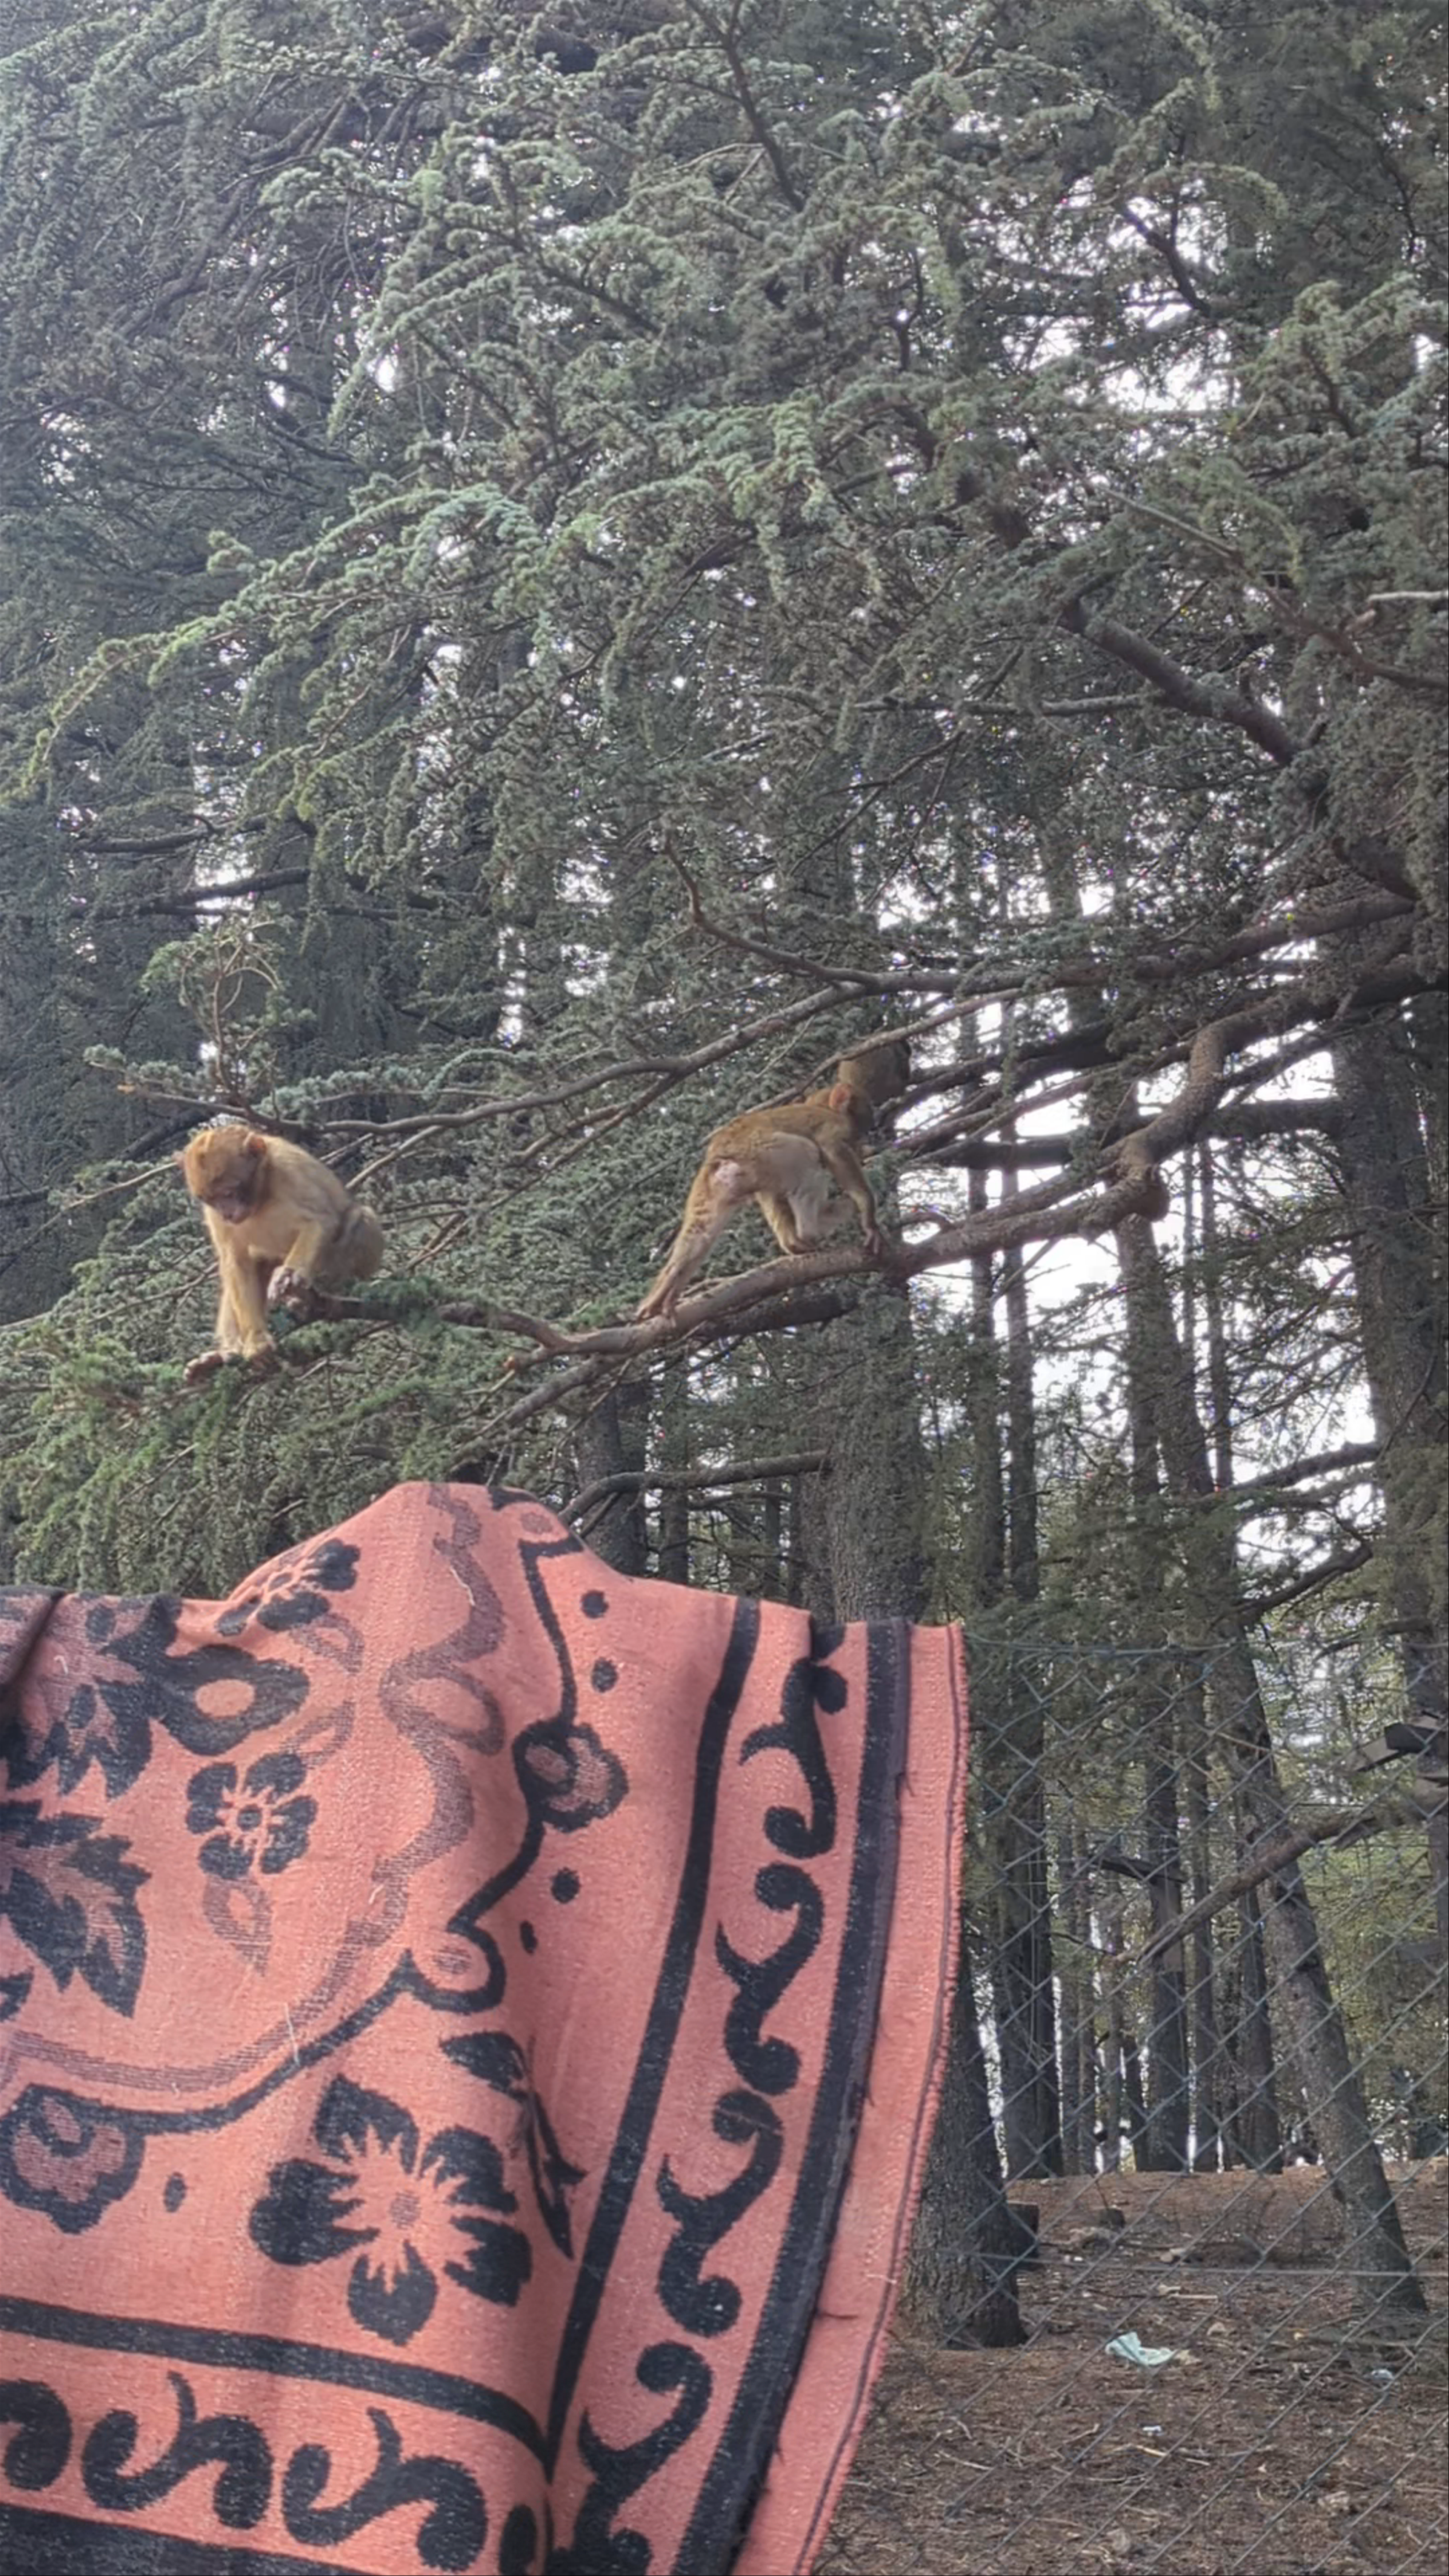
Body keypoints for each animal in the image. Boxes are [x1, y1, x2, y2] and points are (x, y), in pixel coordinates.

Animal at [178, 1126, 384, 1384]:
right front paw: (256, 1340)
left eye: (228, 1193)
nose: (227, 1214)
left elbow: (320, 1221)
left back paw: (329, 1292)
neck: (261, 1199)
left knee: (360, 1218)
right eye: (211, 1200)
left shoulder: (290, 1171)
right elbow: (235, 1260)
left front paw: (288, 1274)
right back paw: (224, 1355)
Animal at [636, 1040, 910, 1321]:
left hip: (713, 1184)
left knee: (703, 1229)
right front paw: (869, 1217)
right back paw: (809, 1231)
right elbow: (832, 1150)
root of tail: (721, 1158)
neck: (821, 1106)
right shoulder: (834, 1126)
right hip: (763, 1151)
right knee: (807, 1154)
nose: (868, 1131)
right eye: (862, 1117)